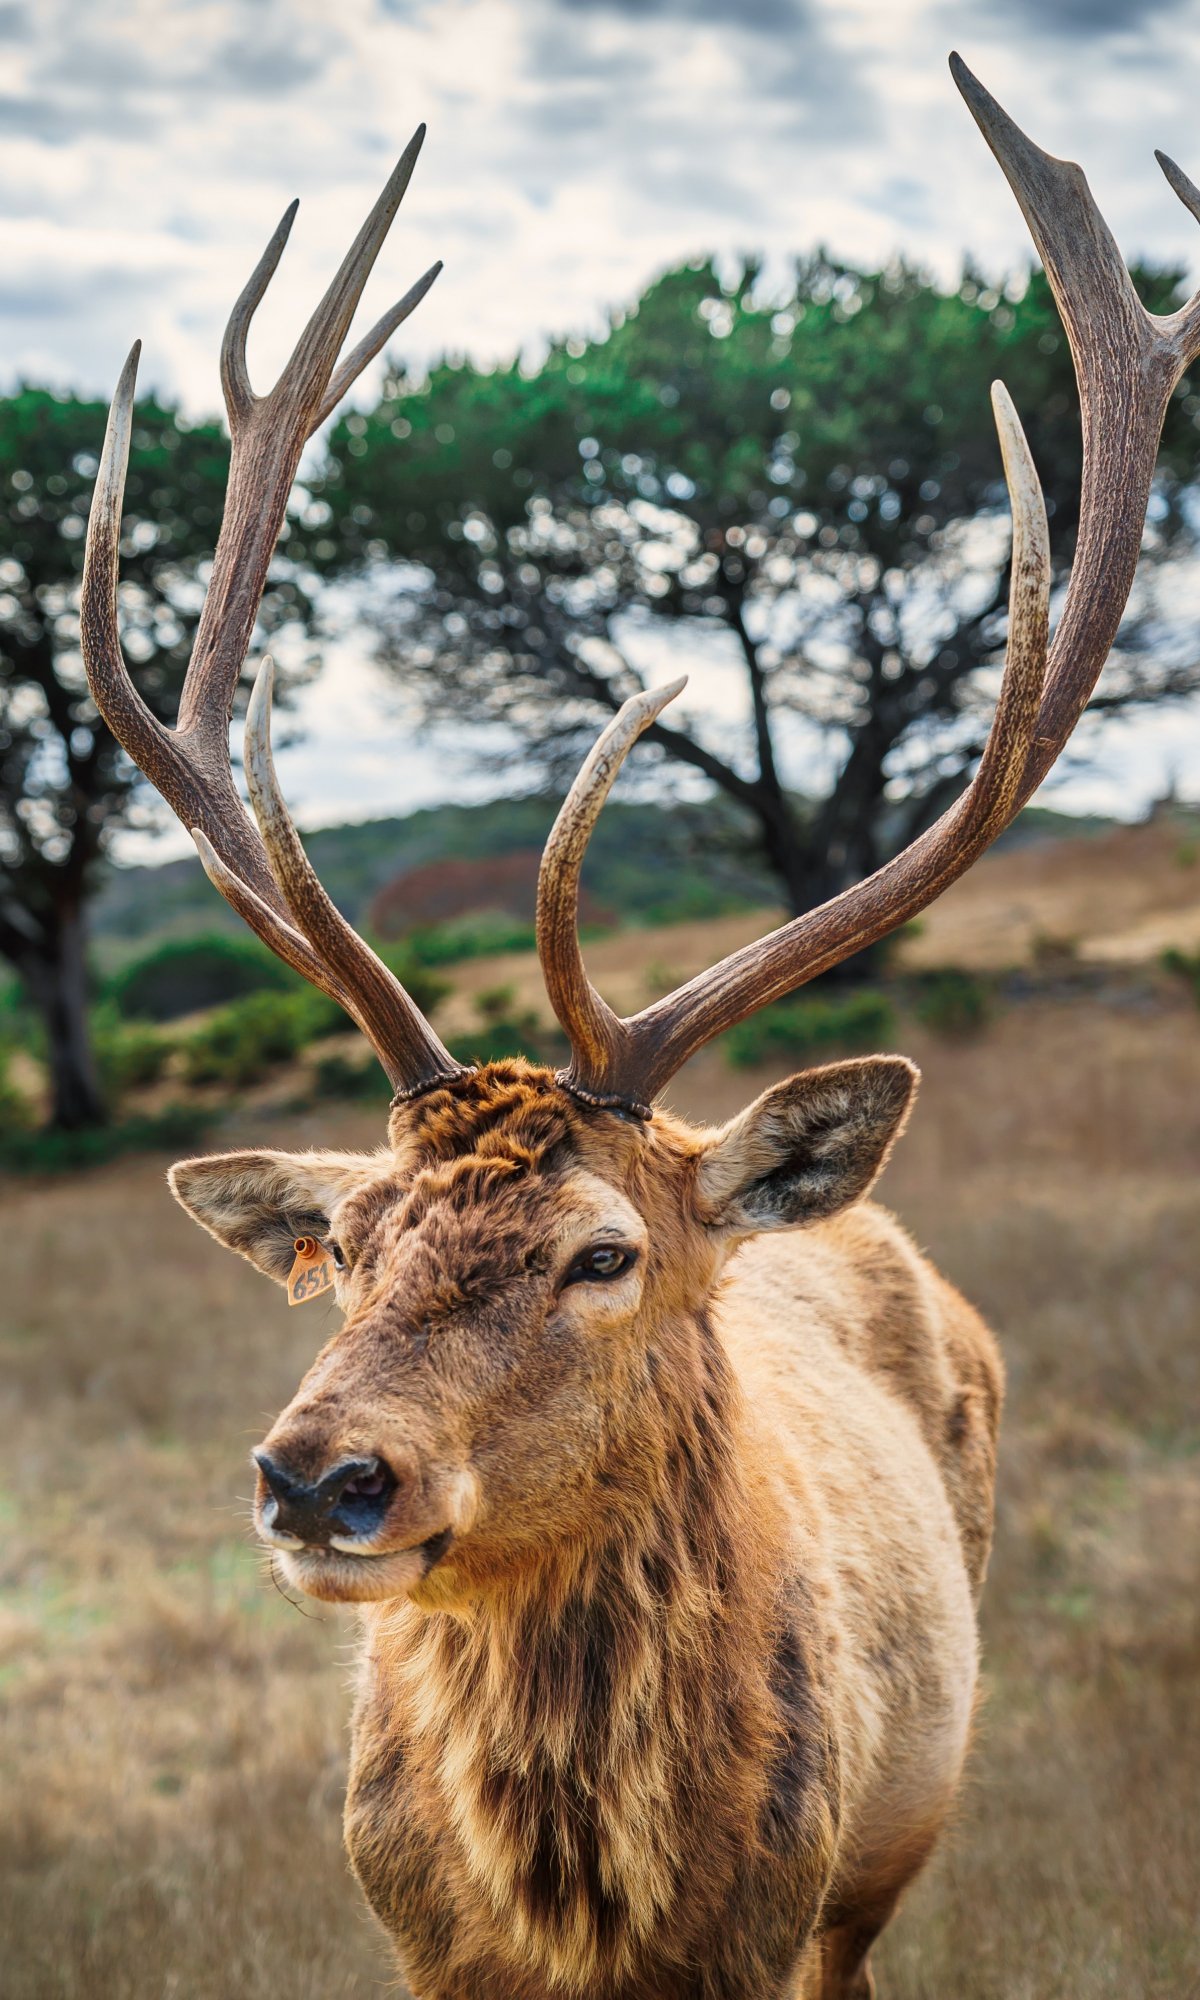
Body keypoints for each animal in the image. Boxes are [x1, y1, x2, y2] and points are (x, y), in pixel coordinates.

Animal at [79, 54, 1200, 2000]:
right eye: (347, 1241)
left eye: (603, 1253)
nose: (318, 1478)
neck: (586, 1915)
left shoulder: (777, 1923)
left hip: (890, 1843)